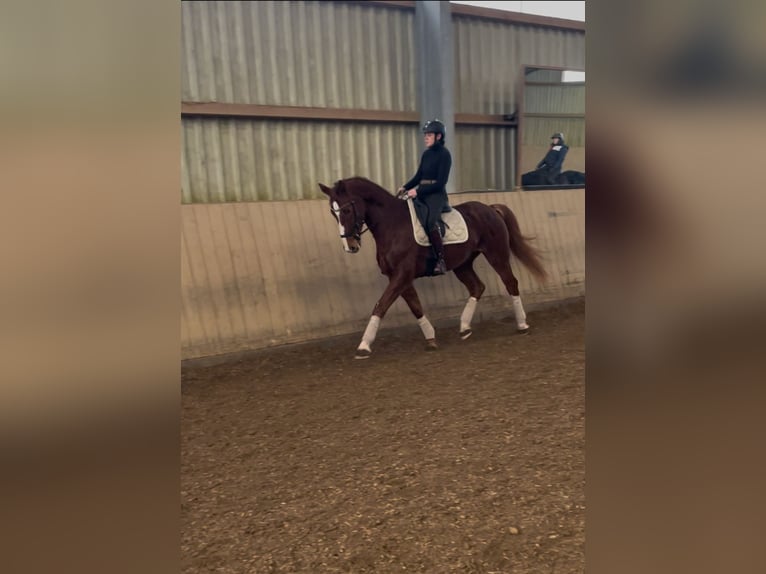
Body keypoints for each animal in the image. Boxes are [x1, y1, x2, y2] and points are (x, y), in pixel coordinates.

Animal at [320, 177, 548, 360]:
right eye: (333, 213)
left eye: (346, 210)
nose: (350, 246)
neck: (392, 225)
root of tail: (491, 208)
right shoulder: (399, 276)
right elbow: (415, 307)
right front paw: (430, 338)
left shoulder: (402, 274)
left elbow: (381, 305)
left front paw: (364, 346)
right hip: (462, 264)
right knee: (477, 287)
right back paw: (464, 328)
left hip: (496, 255)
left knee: (510, 283)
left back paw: (522, 325)